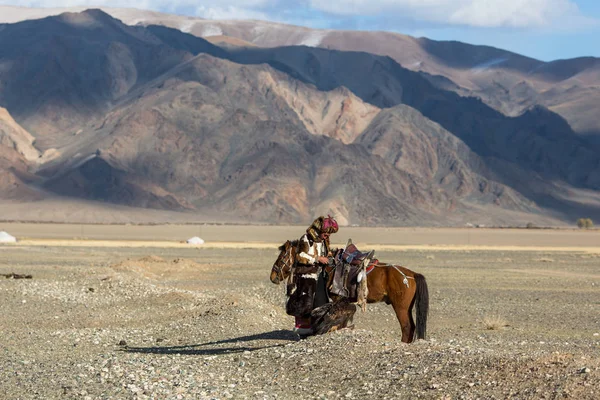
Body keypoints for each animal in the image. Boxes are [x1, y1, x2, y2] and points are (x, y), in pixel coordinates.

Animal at [270, 239, 428, 342]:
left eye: (282, 256)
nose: (273, 276)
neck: (328, 267)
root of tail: (413, 274)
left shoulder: (337, 298)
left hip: (401, 307)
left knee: (406, 327)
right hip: (407, 307)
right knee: (411, 327)